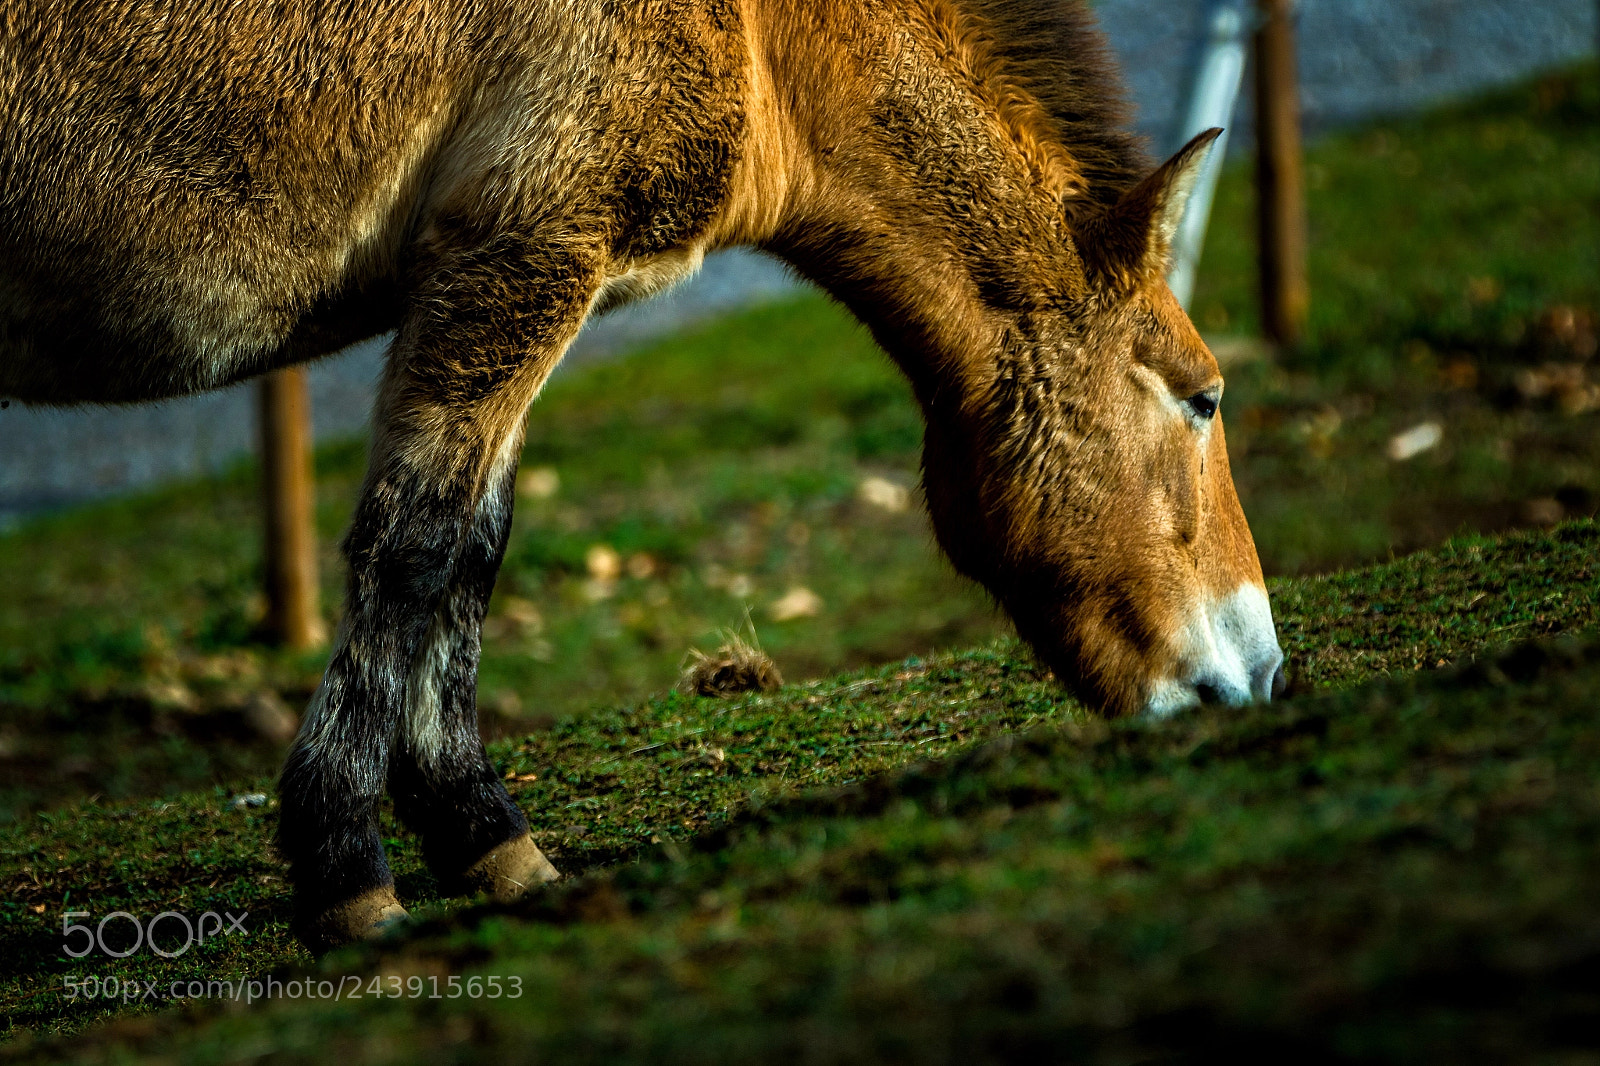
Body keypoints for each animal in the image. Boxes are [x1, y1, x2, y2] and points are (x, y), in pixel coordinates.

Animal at [0, 0, 1284, 949]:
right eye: (1205, 397)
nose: (1262, 670)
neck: (764, 33)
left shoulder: (528, 289)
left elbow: (470, 557)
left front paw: (481, 836)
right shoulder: (519, 260)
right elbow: (412, 548)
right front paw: (348, 873)